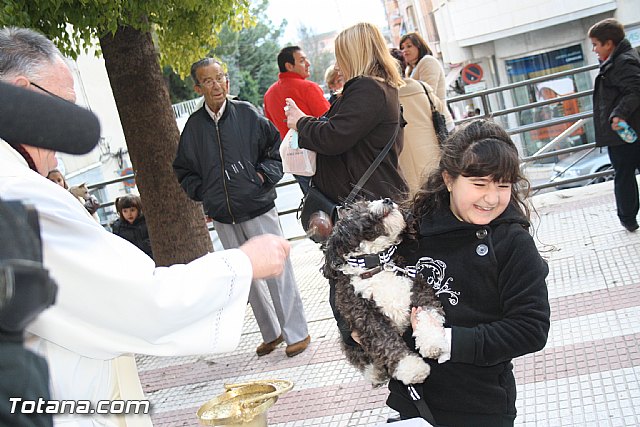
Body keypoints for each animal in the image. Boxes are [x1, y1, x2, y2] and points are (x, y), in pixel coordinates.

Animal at [324, 199, 444, 386]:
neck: (377, 266)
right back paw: (375, 373)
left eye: (367, 201)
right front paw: (411, 368)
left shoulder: (418, 289)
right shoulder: (366, 317)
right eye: (359, 208)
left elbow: (427, 314)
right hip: (348, 339)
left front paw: (433, 342)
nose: (387, 200)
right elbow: (386, 342)